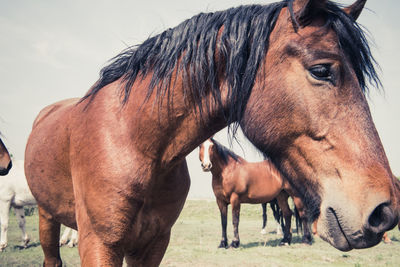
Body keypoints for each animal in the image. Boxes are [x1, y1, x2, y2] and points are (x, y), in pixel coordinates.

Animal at [25, 1, 400, 266]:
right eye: (321, 70)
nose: (385, 211)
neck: (135, 139)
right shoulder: (99, 244)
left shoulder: (154, 244)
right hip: (46, 218)